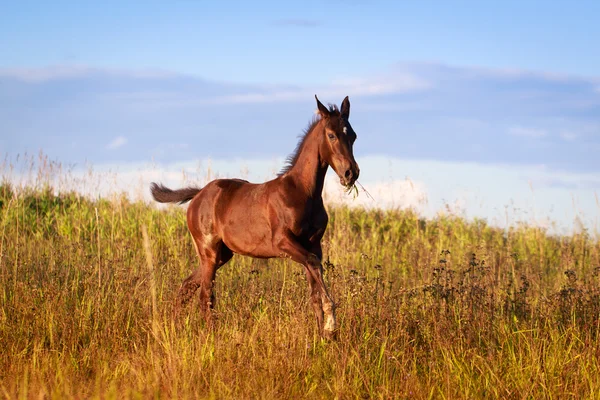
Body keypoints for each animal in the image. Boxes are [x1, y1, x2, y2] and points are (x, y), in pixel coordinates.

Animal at [150, 96, 358, 338]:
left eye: (353, 136)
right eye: (331, 135)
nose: (351, 173)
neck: (303, 192)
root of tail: (199, 194)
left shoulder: (313, 245)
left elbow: (314, 291)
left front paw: (321, 336)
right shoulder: (283, 242)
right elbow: (316, 266)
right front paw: (330, 322)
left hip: (222, 255)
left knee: (188, 286)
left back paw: (172, 327)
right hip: (209, 251)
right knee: (206, 295)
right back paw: (210, 336)